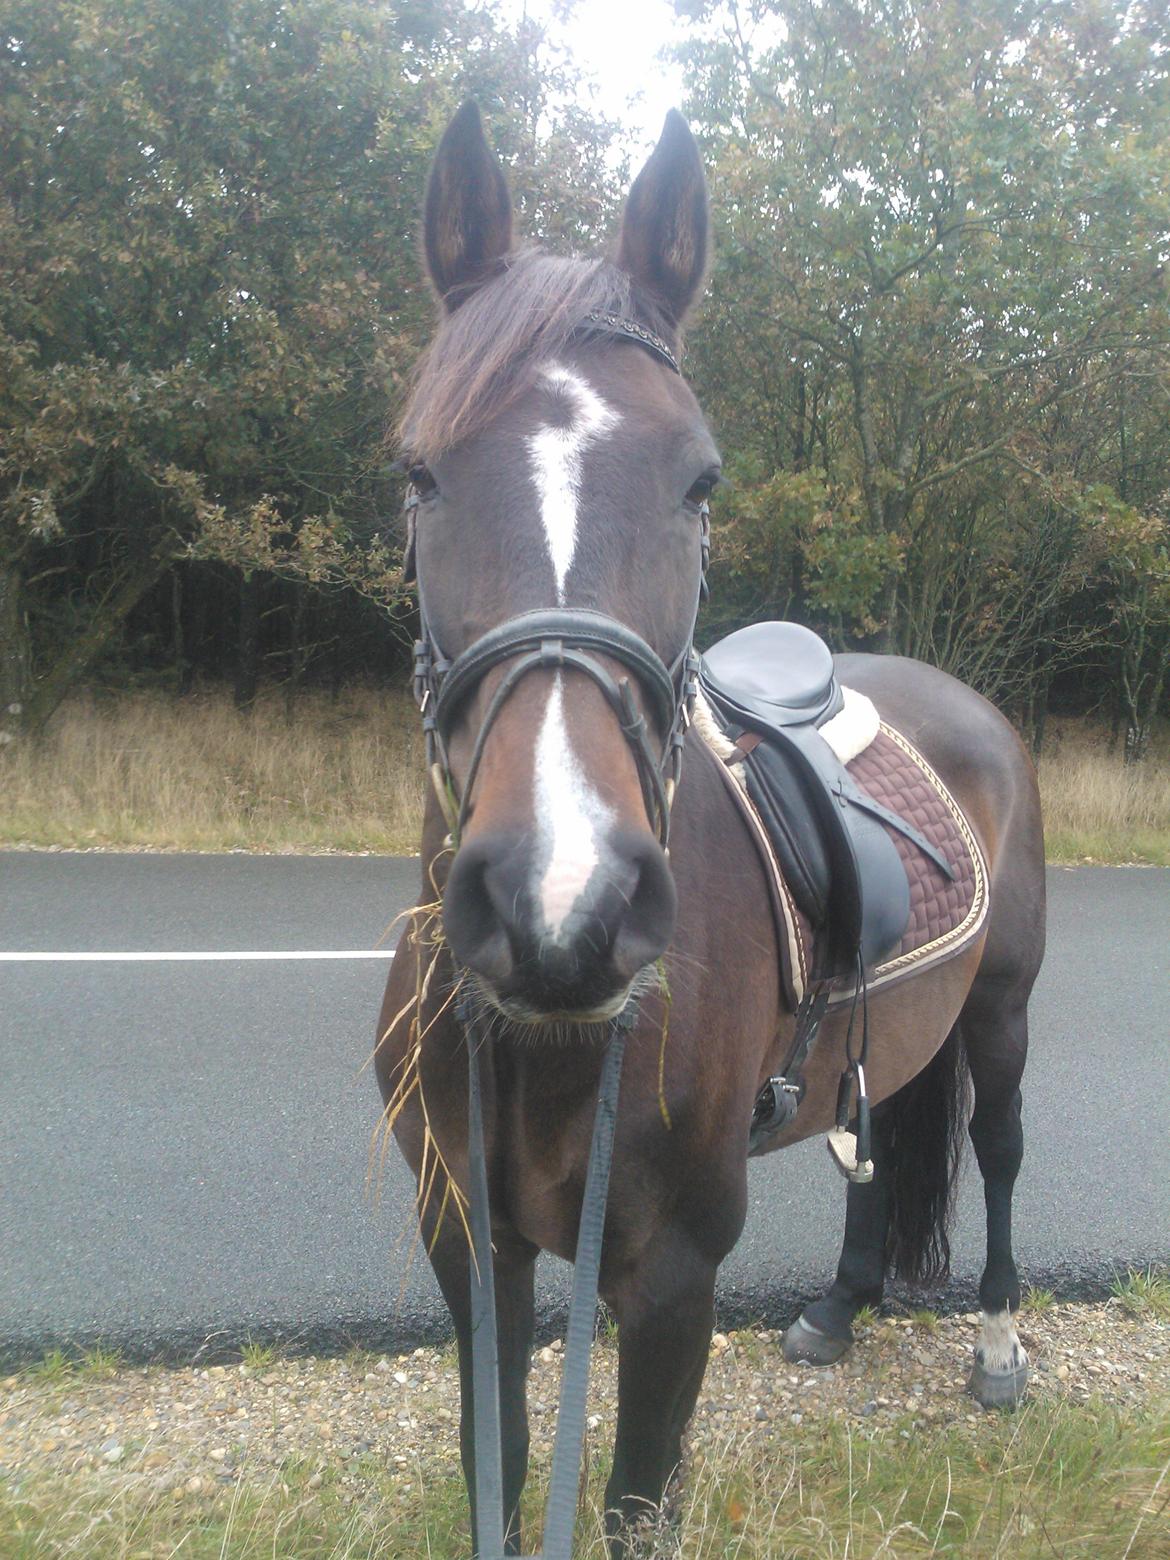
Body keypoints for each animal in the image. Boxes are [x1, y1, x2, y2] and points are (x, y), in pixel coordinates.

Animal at [380, 103, 1048, 1553]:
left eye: (700, 481)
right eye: (418, 472)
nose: (560, 907)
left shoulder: (672, 1280)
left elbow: (633, 1501)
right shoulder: (469, 1247)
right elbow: (494, 1460)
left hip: (1002, 1009)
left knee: (1000, 1150)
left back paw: (999, 1346)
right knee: (879, 1145)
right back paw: (841, 1310)